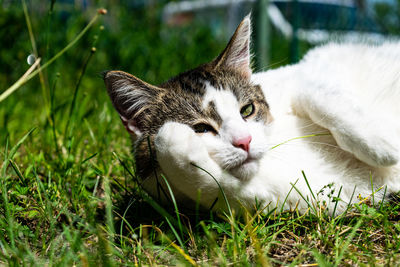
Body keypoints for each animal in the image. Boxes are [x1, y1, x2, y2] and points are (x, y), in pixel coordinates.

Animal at [104, 14, 400, 216]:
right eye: (200, 129)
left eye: (247, 110)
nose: (244, 141)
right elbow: (205, 181)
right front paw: (173, 141)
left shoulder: (314, 65)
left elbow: (315, 93)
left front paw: (383, 146)